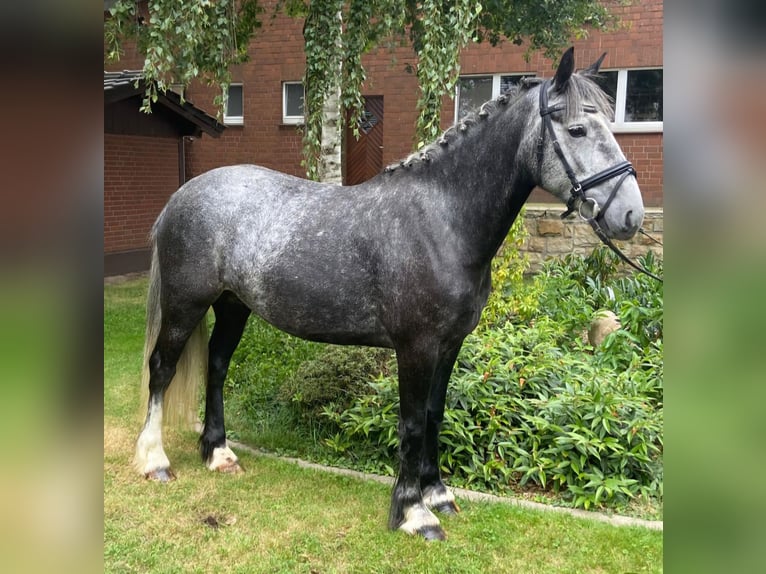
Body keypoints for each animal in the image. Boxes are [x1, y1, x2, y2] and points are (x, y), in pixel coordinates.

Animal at [136, 48, 640, 540]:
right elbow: (412, 422)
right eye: (576, 129)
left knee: (217, 366)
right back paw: (155, 461)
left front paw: (438, 493)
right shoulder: (415, 347)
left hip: (232, 305)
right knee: (162, 368)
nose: (631, 215)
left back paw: (218, 453)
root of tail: (182, 195)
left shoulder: (450, 344)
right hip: (185, 304)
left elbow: (435, 413)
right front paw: (414, 513)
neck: (443, 220)